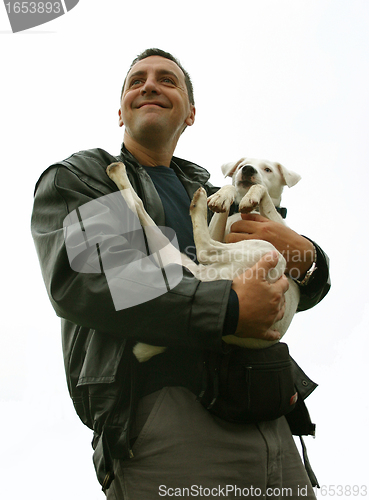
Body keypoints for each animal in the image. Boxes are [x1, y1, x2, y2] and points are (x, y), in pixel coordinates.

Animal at [105, 158, 300, 362]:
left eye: (268, 169)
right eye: (241, 166)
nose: (247, 170)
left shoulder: (277, 227)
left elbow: (261, 190)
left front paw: (249, 196)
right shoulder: (218, 229)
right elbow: (227, 197)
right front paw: (223, 195)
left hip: (269, 251)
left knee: (205, 248)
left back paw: (196, 203)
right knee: (140, 206)